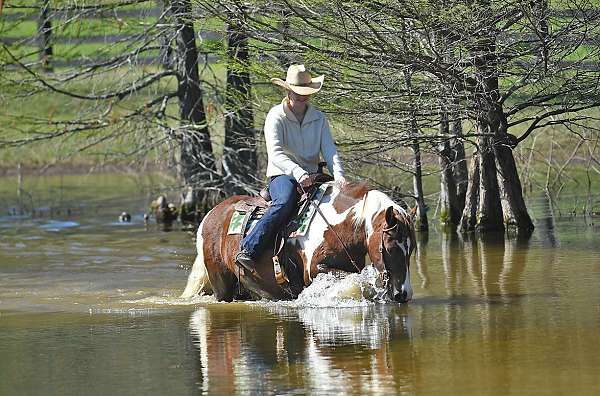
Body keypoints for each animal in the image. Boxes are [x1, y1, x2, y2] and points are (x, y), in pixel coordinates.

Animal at [182, 183, 418, 304]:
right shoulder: (314, 270)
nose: (404, 294)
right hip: (221, 284)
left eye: (411, 249)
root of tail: (210, 215)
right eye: (390, 247)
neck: (340, 225)